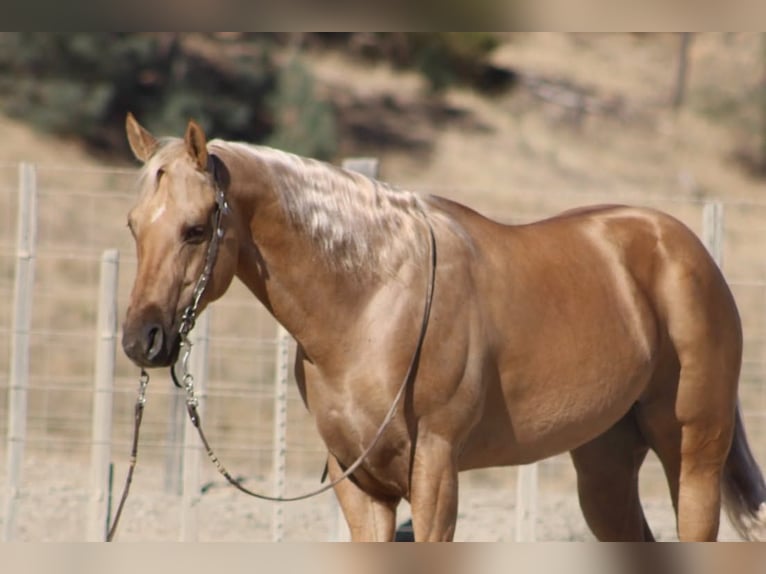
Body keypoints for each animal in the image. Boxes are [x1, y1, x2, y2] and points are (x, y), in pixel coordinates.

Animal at [120, 113, 766, 541]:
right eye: (133, 225)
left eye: (196, 229)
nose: (140, 340)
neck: (373, 302)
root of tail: (686, 249)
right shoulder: (360, 487)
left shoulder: (435, 472)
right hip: (604, 469)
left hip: (693, 455)